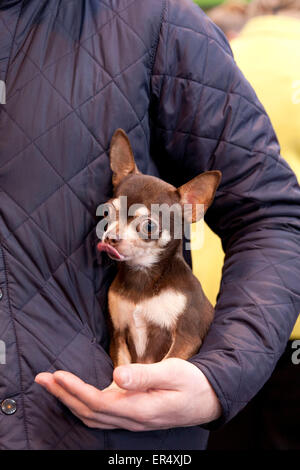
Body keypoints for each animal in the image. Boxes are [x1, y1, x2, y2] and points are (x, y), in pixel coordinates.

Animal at [97, 130, 221, 372]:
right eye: (106, 213)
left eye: (148, 227)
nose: (111, 238)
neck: (143, 278)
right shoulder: (118, 336)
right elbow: (121, 368)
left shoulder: (186, 338)